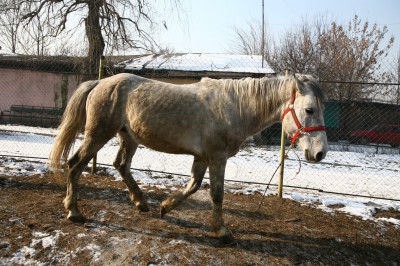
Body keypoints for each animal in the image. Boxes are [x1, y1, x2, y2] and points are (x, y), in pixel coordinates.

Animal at [49, 72, 328, 243]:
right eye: (309, 110)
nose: (320, 153)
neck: (235, 106)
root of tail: (100, 83)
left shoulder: (202, 157)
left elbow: (193, 186)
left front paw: (165, 206)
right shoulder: (217, 157)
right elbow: (216, 194)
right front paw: (223, 231)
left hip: (128, 137)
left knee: (121, 165)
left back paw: (141, 202)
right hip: (98, 135)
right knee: (75, 165)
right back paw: (73, 211)